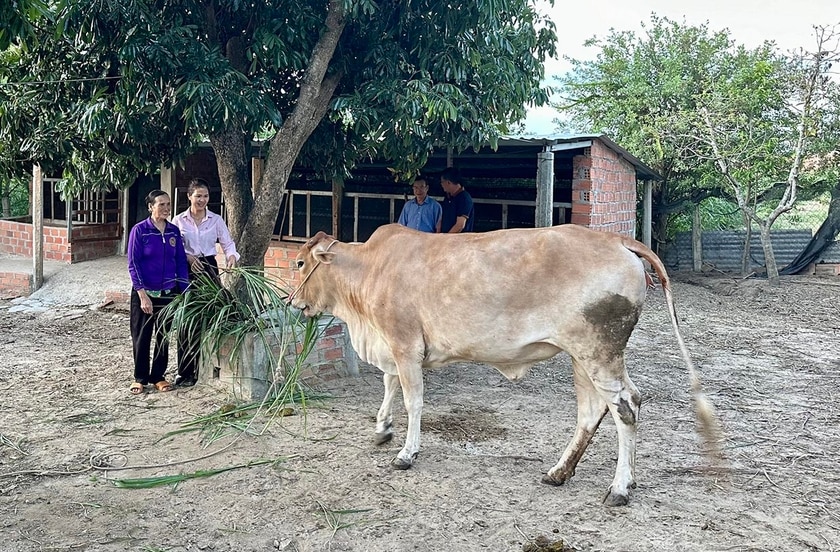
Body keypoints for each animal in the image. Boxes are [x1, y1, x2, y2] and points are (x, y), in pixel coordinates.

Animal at [290, 223, 720, 504]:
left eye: (299, 263)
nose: (290, 301)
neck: (370, 270)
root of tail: (618, 240)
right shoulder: (394, 349)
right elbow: (389, 385)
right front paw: (382, 429)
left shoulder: (405, 344)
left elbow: (412, 400)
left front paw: (406, 453)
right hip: (582, 356)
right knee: (591, 410)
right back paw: (558, 472)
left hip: (600, 351)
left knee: (626, 406)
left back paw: (618, 488)